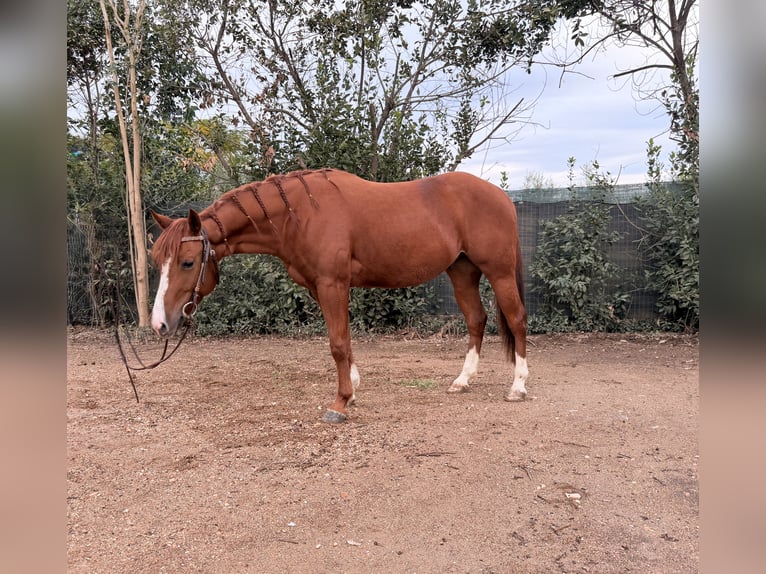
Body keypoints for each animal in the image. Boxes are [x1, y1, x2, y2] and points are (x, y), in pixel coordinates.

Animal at [149, 168, 528, 423]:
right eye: (156, 260)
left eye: (187, 262)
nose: (159, 324)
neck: (300, 213)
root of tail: (503, 197)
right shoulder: (319, 287)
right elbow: (343, 339)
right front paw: (354, 390)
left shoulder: (333, 284)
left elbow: (337, 343)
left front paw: (341, 403)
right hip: (462, 271)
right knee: (476, 319)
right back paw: (463, 381)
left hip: (498, 272)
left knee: (516, 319)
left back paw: (518, 386)